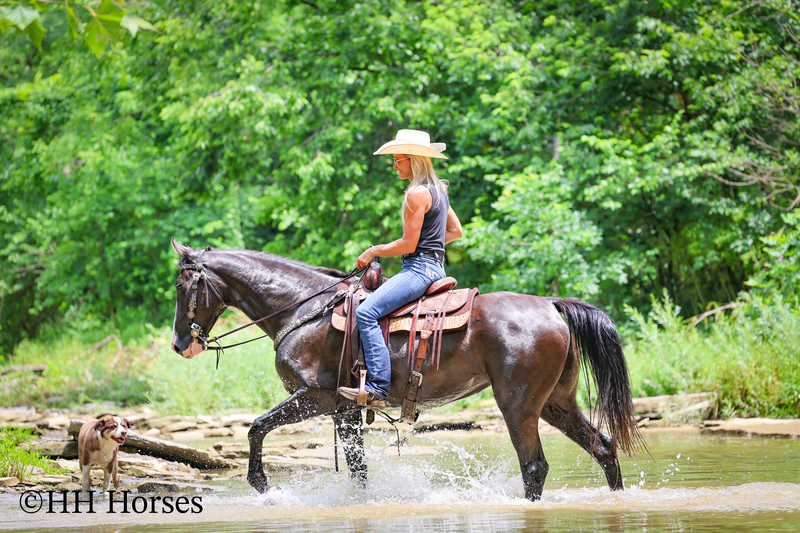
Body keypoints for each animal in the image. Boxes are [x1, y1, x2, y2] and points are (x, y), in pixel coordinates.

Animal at [169, 238, 644, 501]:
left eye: (179, 285)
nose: (179, 345)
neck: (303, 309)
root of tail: (550, 305)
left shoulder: (315, 398)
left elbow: (255, 427)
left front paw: (263, 486)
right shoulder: (344, 410)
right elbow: (358, 469)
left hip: (519, 405)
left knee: (534, 467)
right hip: (556, 403)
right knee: (603, 448)